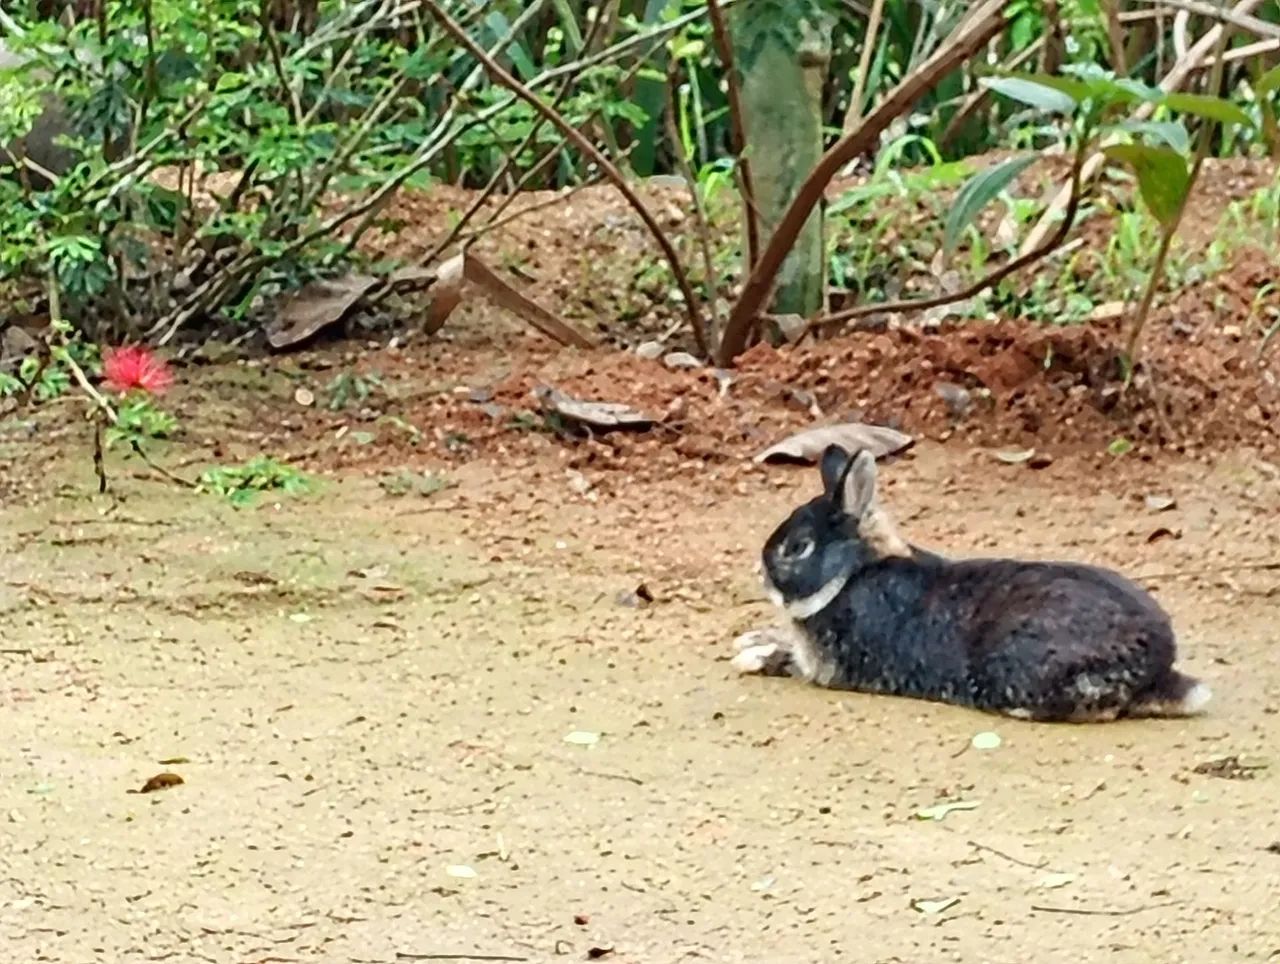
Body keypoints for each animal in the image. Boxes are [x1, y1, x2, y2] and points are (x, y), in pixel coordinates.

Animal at [731, 445, 1212, 723]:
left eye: (798, 548)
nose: (762, 574)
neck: (852, 572)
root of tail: (1159, 663)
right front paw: (748, 641)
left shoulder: (826, 667)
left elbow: (788, 662)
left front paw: (750, 658)